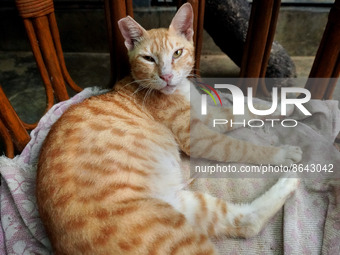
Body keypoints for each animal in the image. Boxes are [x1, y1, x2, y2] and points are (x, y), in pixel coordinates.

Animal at [37, 2, 302, 254]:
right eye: (148, 59)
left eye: (177, 53)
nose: (166, 76)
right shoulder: (198, 138)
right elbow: (242, 147)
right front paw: (282, 153)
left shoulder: (208, 115)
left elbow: (244, 108)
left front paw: (285, 105)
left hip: (187, 205)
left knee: (247, 222)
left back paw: (290, 181)